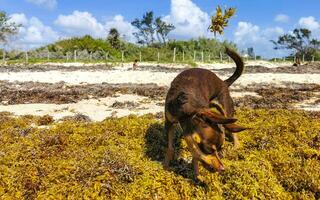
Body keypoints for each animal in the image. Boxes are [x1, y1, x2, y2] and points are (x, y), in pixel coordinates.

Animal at [164, 47, 246, 179]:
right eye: (208, 150)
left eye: (219, 148)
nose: (223, 169)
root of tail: (223, 82)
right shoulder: (169, 123)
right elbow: (170, 148)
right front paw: (166, 166)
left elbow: (195, 156)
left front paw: (197, 174)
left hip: (226, 111)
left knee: (233, 130)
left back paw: (236, 146)